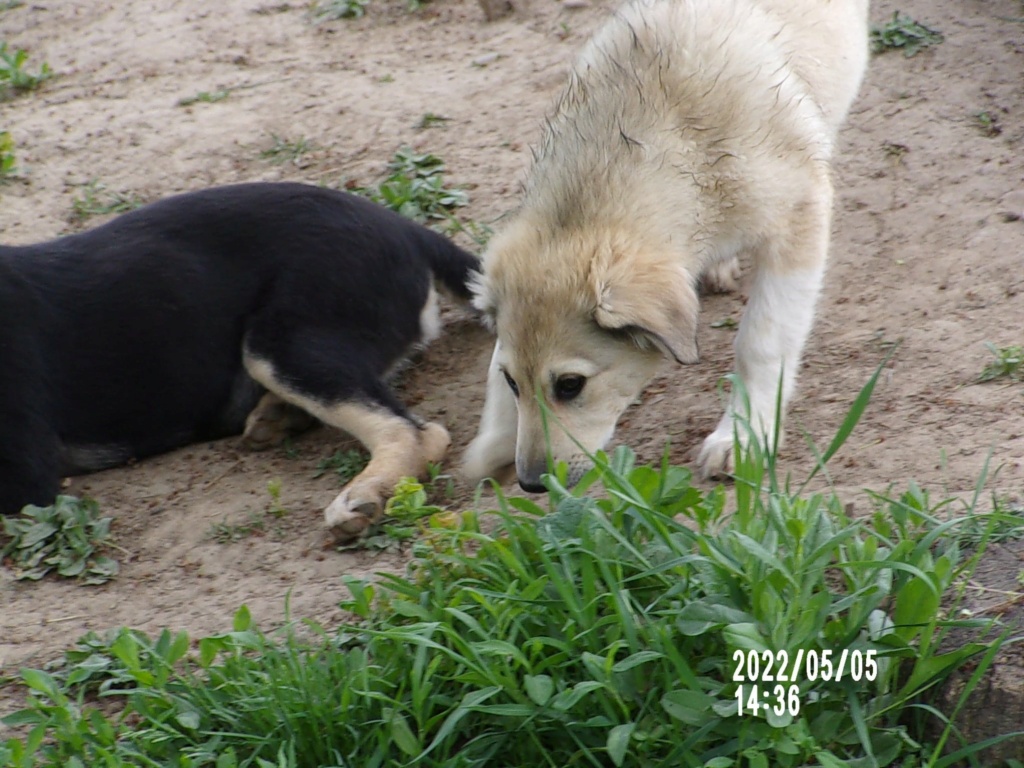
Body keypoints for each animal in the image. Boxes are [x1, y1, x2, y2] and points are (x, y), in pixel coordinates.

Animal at [1, 182, 479, 540]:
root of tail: (403, 227)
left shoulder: (26, 476)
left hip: (282, 343)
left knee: (416, 432)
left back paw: (367, 493)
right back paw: (279, 415)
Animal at [468, 0, 868, 493]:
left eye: (570, 385)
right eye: (512, 382)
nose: (531, 484)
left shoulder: (799, 218)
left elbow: (761, 340)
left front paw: (742, 436)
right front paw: (495, 441)